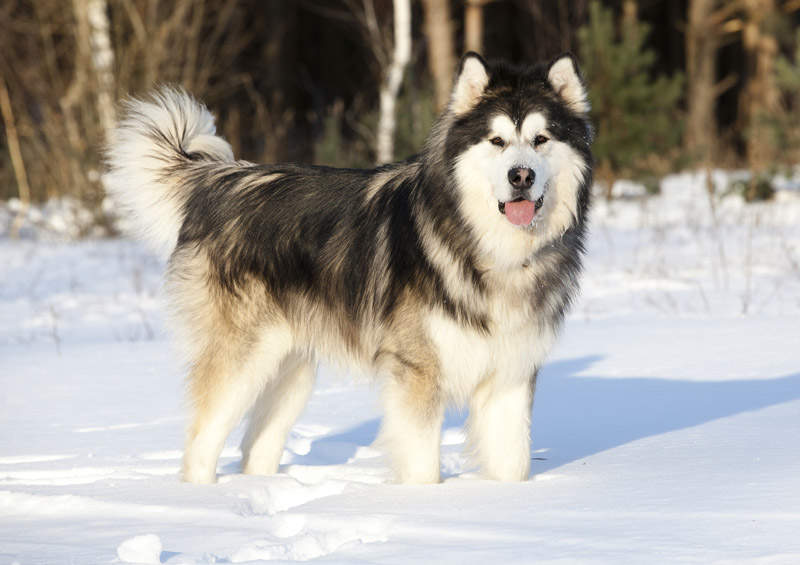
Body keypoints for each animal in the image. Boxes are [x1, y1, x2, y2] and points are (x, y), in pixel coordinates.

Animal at [106, 53, 592, 482]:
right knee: (201, 446)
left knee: (255, 449)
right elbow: (422, 467)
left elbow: (513, 464)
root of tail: (221, 180)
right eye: (497, 141)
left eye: (541, 140)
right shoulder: (417, 373)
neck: (491, 248)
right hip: (241, 361)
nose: (521, 176)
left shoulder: (511, 376)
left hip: (292, 370)